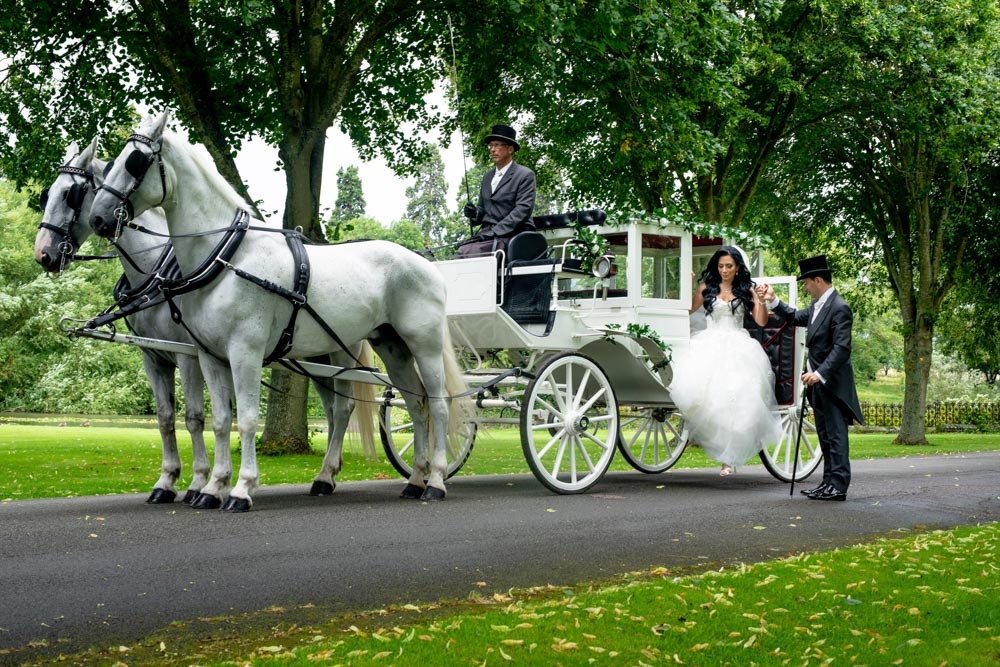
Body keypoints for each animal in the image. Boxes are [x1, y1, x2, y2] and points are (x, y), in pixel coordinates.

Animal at [36, 137, 376, 512]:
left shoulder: (188, 354)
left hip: (342, 353)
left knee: (343, 408)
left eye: (72, 194)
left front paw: (199, 481)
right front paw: (170, 481)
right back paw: (329, 471)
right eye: (46, 195)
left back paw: (326, 475)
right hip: (315, 358)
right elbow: (168, 418)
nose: (43, 254)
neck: (159, 268)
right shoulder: (154, 357)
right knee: (331, 410)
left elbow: (195, 417)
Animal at [90, 113, 464, 512]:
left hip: (423, 346)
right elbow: (221, 421)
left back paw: (435, 481)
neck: (228, 256)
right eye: (112, 164)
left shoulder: (245, 352)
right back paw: (413, 480)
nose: (98, 218)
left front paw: (241, 489)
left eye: (135, 161)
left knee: (438, 405)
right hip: (391, 348)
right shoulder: (209, 356)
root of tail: (424, 263)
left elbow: (247, 420)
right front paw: (212, 488)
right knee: (415, 405)